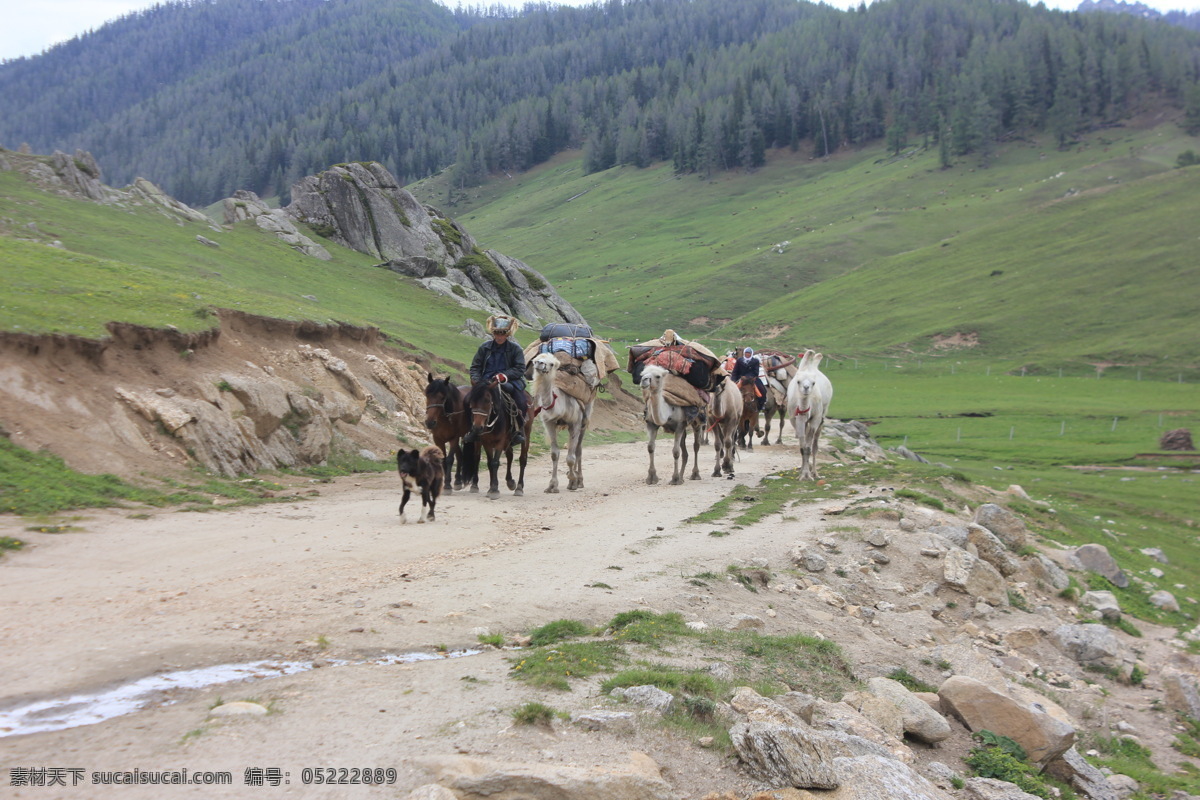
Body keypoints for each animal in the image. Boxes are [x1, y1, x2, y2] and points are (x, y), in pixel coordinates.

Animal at [530, 352, 595, 491]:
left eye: (551, 363)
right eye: (536, 360)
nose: (540, 363)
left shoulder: (575, 422)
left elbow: (571, 457)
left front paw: (572, 479)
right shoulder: (549, 423)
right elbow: (554, 453)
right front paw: (552, 485)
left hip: (584, 419)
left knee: (578, 449)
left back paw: (579, 481)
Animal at [787, 350, 835, 482]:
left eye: (813, 383)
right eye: (798, 381)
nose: (806, 388)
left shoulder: (815, 418)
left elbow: (808, 448)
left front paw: (807, 475)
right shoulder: (795, 419)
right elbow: (802, 448)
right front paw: (802, 474)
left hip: (823, 415)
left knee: (815, 445)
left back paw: (815, 472)